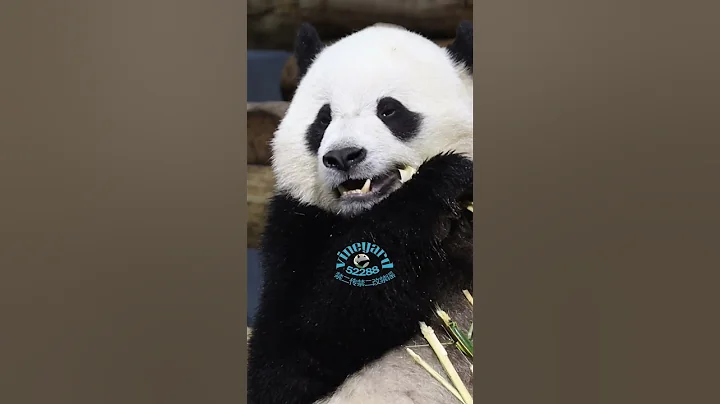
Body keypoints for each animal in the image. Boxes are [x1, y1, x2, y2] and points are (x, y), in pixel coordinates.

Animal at [248, 20, 474, 404]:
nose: (343, 156)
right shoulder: (293, 231)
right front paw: (440, 182)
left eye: (389, 110)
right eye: (323, 118)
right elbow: (289, 354)